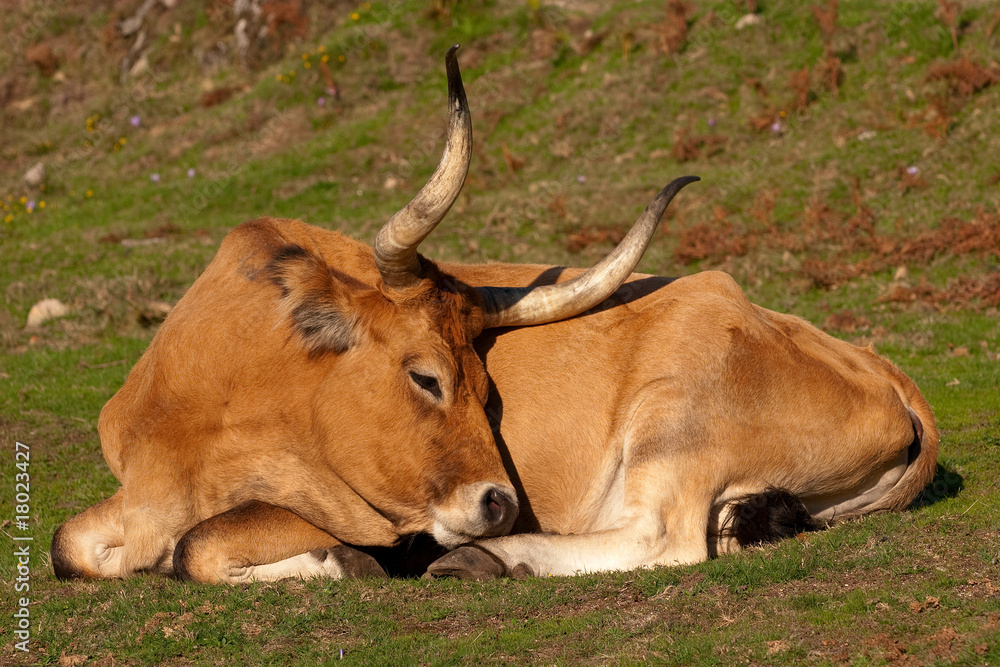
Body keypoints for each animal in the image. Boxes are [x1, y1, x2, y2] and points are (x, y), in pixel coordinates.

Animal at [50, 46, 698, 584]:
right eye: (426, 377)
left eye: (490, 392)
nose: (500, 504)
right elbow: (68, 545)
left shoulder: (353, 513)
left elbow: (195, 548)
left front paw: (336, 561)